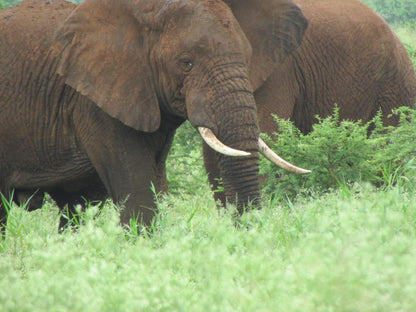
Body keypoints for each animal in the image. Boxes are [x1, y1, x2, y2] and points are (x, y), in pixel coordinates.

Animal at [0, 0, 308, 232]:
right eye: (186, 64)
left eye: (247, 57)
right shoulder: (96, 102)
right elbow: (137, 192)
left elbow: (155, 183)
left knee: (76, 208)